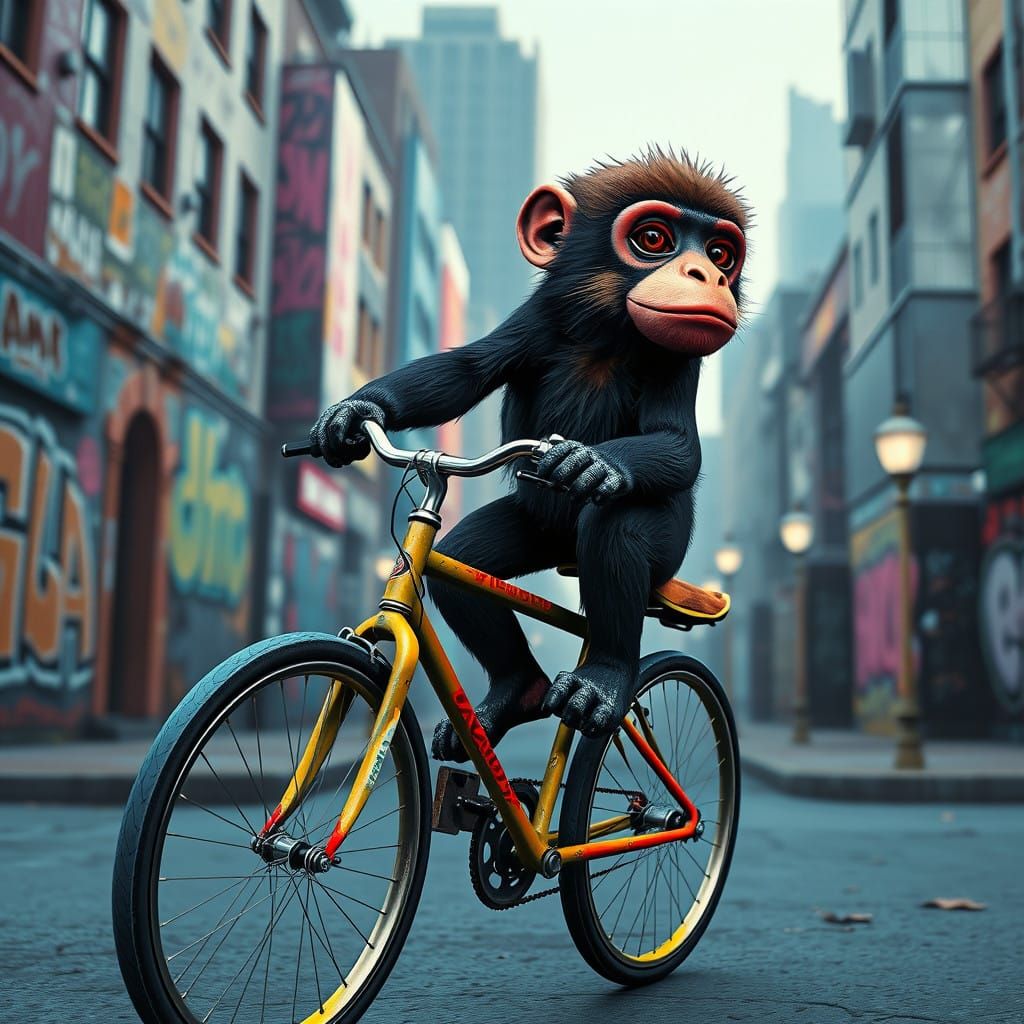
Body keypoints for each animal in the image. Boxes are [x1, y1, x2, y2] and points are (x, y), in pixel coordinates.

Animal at [310, 148, 749, 761]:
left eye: (719, 253)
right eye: (654, 239)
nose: (707, 275)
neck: (607, 334)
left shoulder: (678, 357)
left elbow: (678, 441)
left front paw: (595, 464)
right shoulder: (538, 317)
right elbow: (465, 368)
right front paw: (354, 413)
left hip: (667, 549)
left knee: (618, 533)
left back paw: (601, 683)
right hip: (531, 527)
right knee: (463, 558)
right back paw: (517, 693)